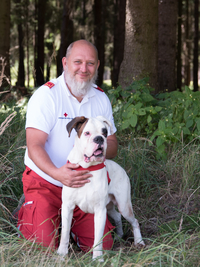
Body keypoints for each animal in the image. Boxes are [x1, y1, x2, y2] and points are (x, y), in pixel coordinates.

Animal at [57, 116, 145, 260]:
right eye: (87, 133)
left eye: (104, 132)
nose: (99, 138)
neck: (87, 168)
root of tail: (121, 169)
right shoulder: (67, 207)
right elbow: (64, 233)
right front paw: (61, 254)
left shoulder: (99, 211)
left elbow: (98, 238)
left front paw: (97, 258)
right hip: (110, 207)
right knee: (117, 216)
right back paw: (119, 235)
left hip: (124, 206)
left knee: (135, 221)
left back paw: (139, 241)